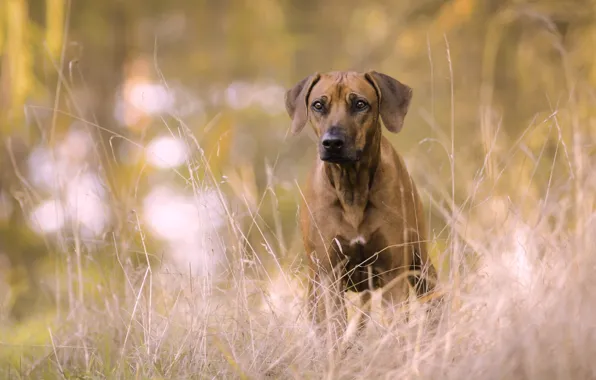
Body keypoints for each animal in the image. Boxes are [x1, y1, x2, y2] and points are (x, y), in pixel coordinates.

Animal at [284, 70, 438, 342]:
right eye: (318, 105)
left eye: (360, 104)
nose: (332, 142)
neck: (351, 188)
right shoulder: (330, 275)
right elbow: (334, 329)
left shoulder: (393, 272)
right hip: (315, 286)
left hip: (421, 265)